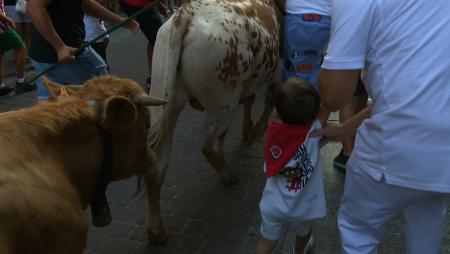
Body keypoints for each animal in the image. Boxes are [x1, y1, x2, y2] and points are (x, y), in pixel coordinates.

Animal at [147, 0, 282, 242]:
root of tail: (186, 13)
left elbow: (250, 101)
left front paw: (248, 129)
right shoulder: (276, 71)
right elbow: (267, 103)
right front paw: (256, 130)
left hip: (165, 101)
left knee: (158, 167)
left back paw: (156, 229)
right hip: (224, 101)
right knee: (210, 146)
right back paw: (229, 176)